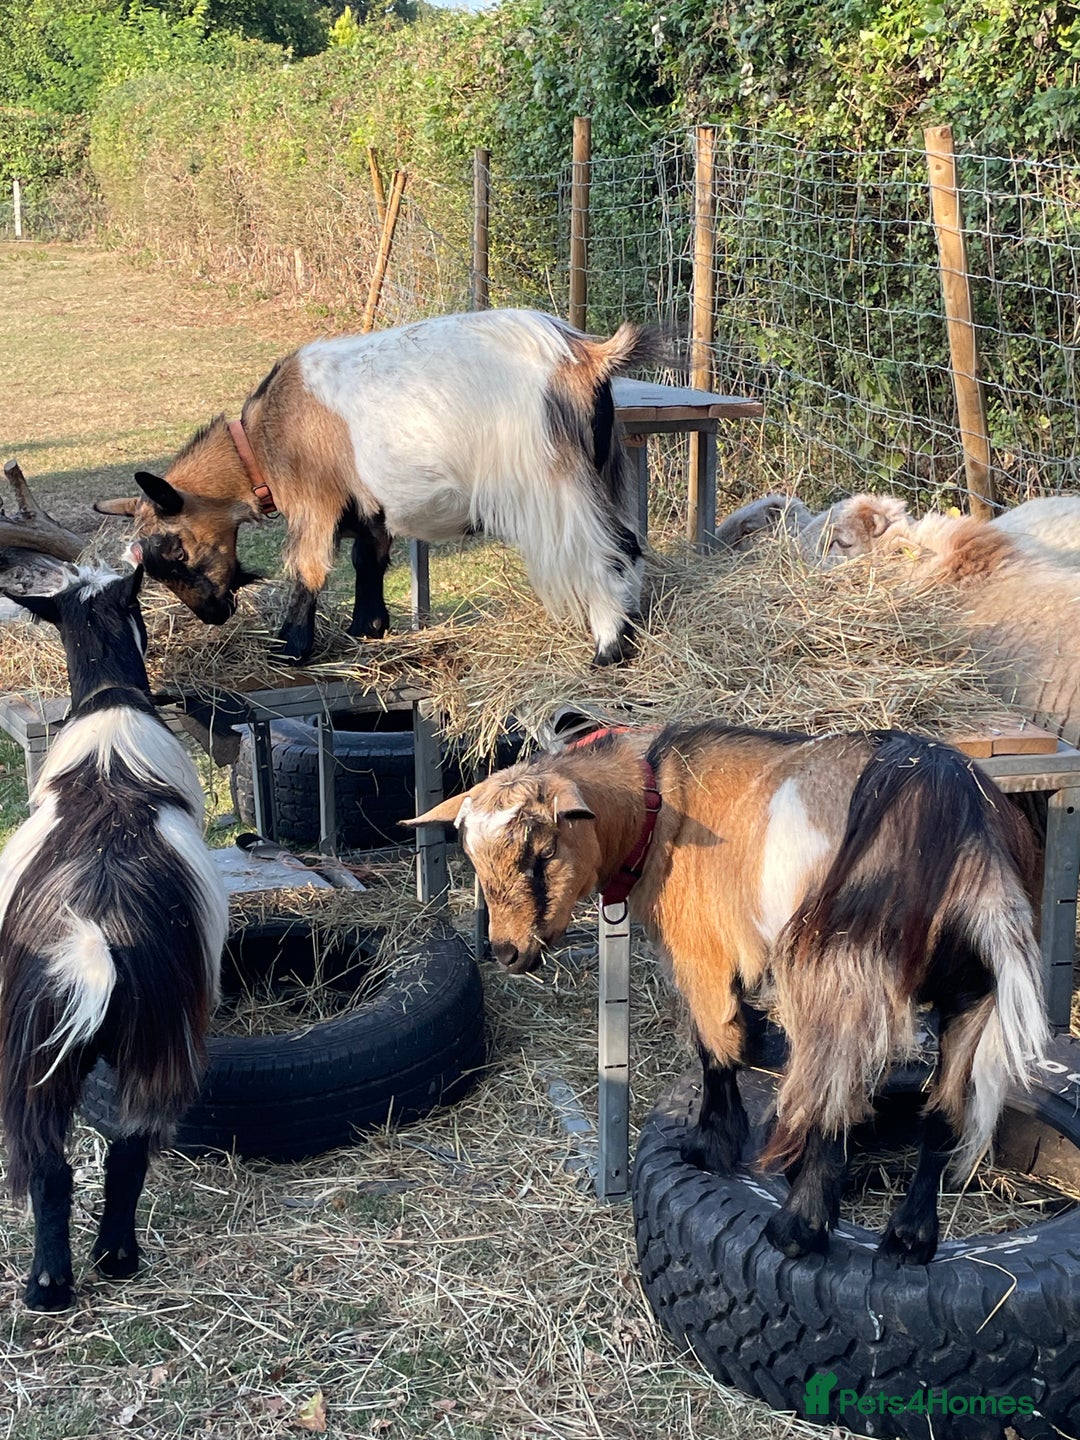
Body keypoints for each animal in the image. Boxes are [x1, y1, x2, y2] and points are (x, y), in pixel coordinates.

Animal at [0, 549, 227, 1310]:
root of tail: (94, 948)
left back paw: (53, 1282)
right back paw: (111, 1259)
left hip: (39, 1056)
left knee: (51, 1163)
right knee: (121, 1149)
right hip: (149, 1041)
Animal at [95, 308, 663, 666]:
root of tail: (585, 355)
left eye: (176, 551)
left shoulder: (314, 502)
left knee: (603, 553)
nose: (212, 615)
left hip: (553, 485)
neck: (260, 440)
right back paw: (631, 630)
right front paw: (367, 628)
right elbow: (367, 559)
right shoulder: (368, 508)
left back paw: (608, 651)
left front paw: (291, 648)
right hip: (602, 470)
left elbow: (308, 568)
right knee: (629, 543)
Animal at [411, 724, 1047, 1263]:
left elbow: (715, 1047)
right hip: (973, 994)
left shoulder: (702, 956)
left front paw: (709, 1147)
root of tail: (968, 834)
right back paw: (911, 1237)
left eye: (541, 854)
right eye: (472, 856)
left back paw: (797, 1228)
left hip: (840, 972)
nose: (507, 952)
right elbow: (738, 1037)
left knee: (834, 1094)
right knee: (943, 1110)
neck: (658, 805)